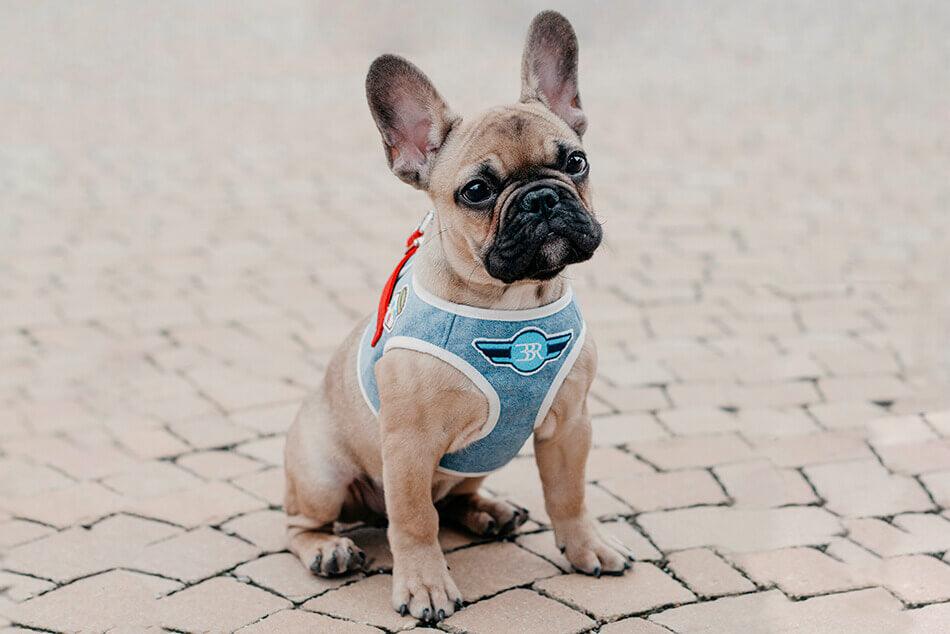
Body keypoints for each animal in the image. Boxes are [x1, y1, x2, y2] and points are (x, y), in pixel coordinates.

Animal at [286, 9, 636, 624]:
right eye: (476, 191)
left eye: (576, 162)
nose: (542, 198)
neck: (513, 303)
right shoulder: (407, 445)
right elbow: (414, 521)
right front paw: (425, 586)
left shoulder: (571, 425)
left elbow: (570, 495)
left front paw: (587, 546)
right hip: (324, 474)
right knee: (301, 525)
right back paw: (328, 549)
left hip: (481, 457)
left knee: (453, 499)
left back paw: (488, 511)